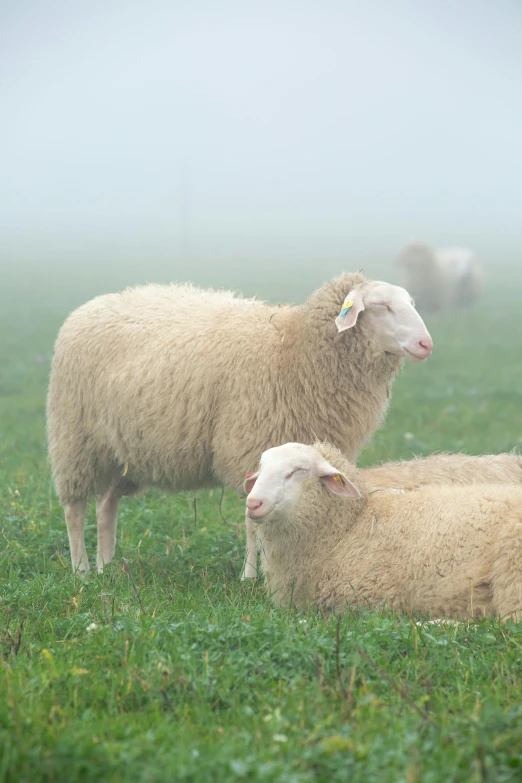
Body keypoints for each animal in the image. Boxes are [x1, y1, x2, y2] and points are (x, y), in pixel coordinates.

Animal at [45, 276, 430, 576]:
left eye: (411, 303)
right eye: (382, 305)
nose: (426, 344)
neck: (294, 349)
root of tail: (91, 305)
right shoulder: (253, 444)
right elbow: (251, 520)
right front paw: (250, 576)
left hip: (119, 452)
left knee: (106, 507)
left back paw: (107, 568)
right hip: (75, 438)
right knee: (75, 508)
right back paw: (81, 572)